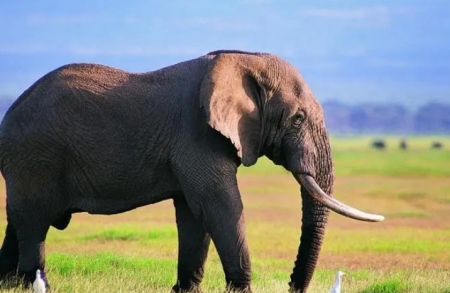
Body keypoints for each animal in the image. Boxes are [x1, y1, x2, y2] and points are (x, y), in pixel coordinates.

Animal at [0, 49, 384, 290]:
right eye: (299, 118)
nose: (293, 287)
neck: (245, 60)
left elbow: (193, 214)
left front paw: (185, 290)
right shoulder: (197, 135)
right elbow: (219, 205)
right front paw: (240, 289)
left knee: (18, 221)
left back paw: (10, 283)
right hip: (35, 156)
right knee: (34, 223)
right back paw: (38, 284)